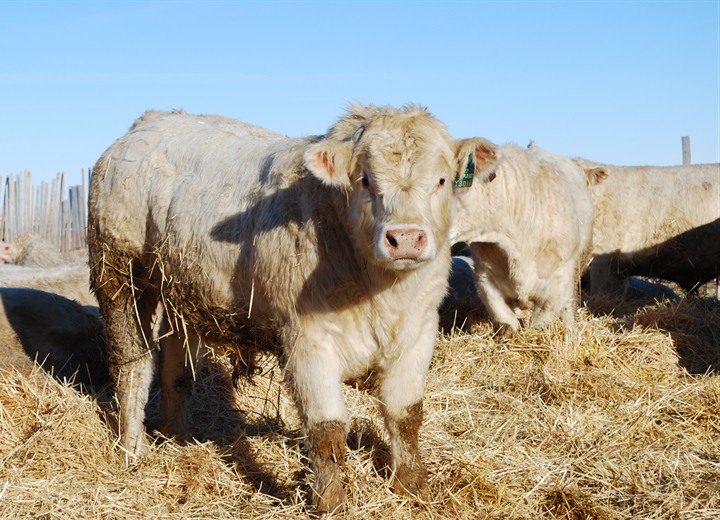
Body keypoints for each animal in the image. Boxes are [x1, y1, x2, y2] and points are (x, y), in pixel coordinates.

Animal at [87, 104, 498, 512]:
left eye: (442, 180)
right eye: (365, 180)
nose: (406, 238)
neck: (382, 294)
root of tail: (153, 119)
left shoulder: (419, 333)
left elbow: (405, 416)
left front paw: (413, 489)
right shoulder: (307, 342)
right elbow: (326, 429)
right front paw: (331, 503)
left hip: (180, 292)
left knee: (177, 367)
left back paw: (175, 437)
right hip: (120, 274)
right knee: (133, 367)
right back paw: (133, 449)